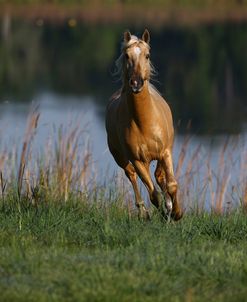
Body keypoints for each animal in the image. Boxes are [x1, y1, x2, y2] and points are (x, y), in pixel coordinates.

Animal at [105, 30, 182, 219]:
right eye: (126, 55)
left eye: (147, 55)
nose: (135, 83)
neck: (144, 122)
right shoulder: (137, 160)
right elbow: (154, 195)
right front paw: (164, 210)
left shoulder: (165, 152)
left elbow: (171, 184)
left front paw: (176, 213)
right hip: (120, 157)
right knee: (131, 174)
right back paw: (143, 211)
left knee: (159, 176)